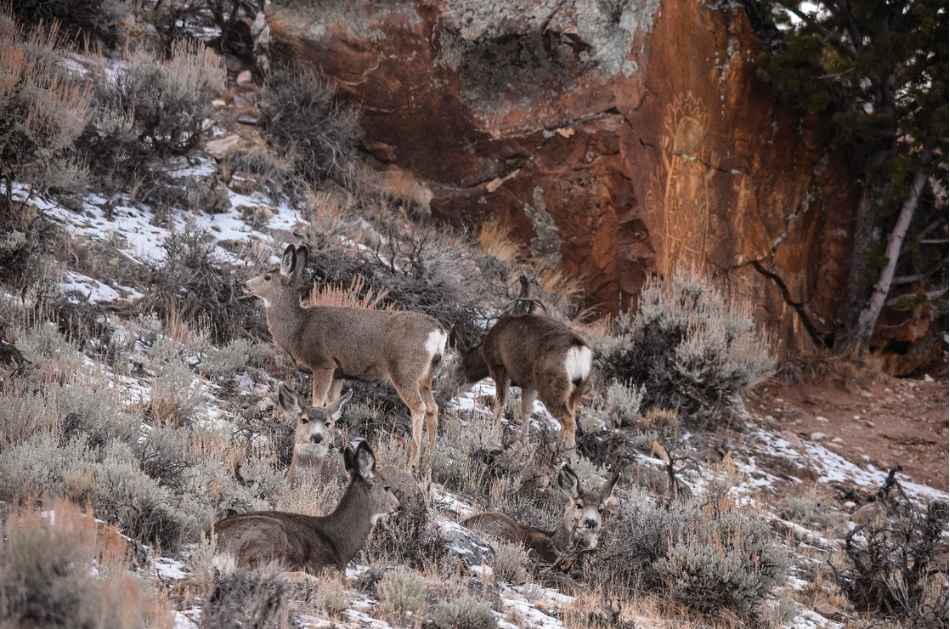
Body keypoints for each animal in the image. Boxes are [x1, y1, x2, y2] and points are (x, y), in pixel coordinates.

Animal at [246, 244, 447, 470]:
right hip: (426, 377)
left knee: (419, 407)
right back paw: (430, 457)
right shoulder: (339, 373)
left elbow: (317, 401)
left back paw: (412, 462)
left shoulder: (323, 363)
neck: (298, 328)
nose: (246, 284)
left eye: (266, 277)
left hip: (404, 371)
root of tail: (439, 333)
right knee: (433, 408)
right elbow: (333, 404)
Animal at [449, 309, 593, 452]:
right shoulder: (529, 385)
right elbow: (526, 411)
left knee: (569, 420)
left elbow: (500, 404)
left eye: (456, 369)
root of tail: (578, 348)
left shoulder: (500, 368)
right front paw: (524, 443)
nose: (448, 392)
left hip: (552, 385)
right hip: (575, 390)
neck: (484, 356)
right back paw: (559, 448)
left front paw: (493, 434)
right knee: (572, 416)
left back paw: (566, 452)